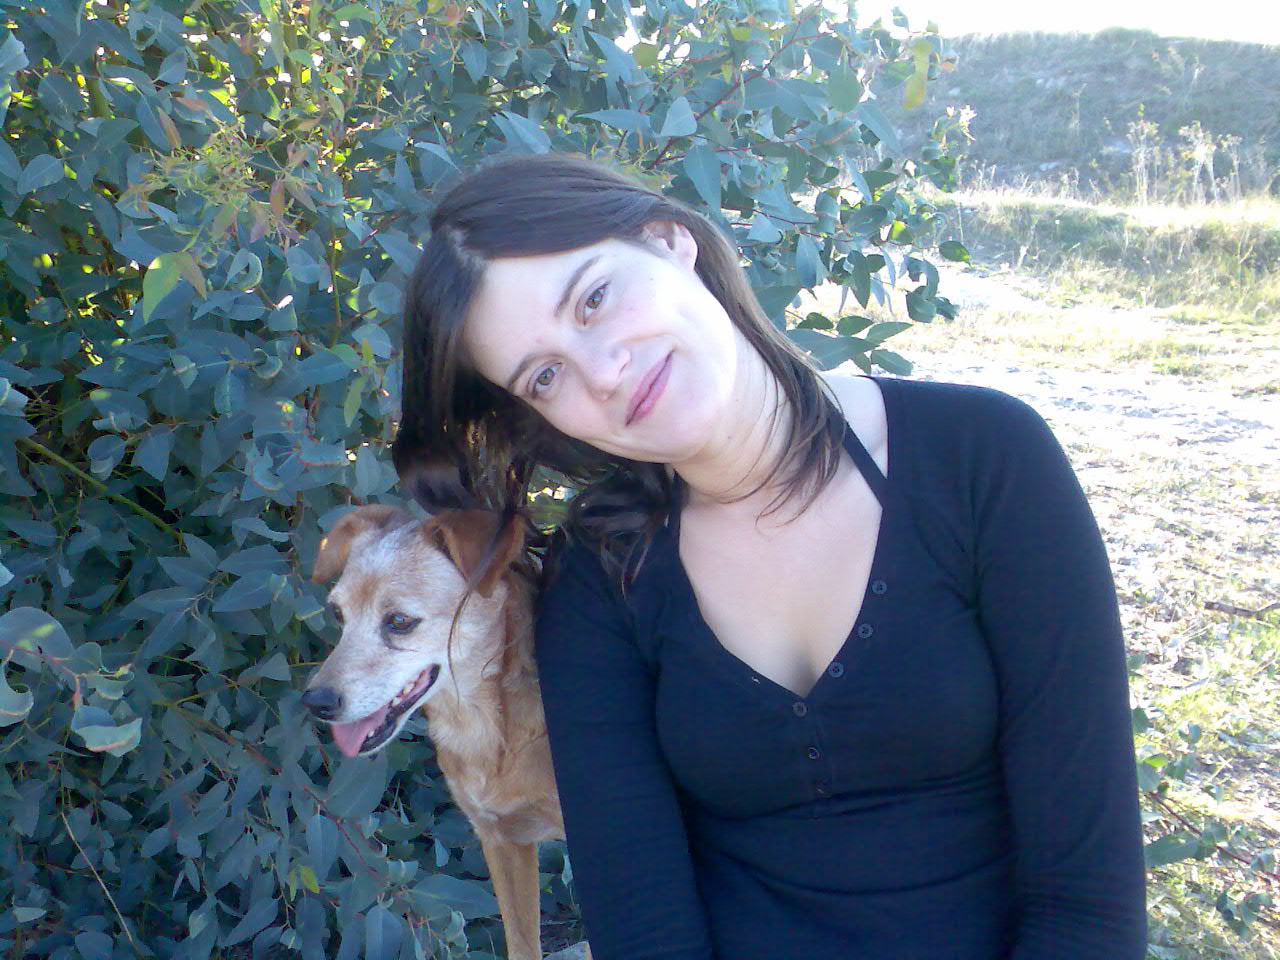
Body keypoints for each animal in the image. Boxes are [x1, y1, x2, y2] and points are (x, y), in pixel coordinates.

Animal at [303, 504, 588, 960]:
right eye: (338, 614)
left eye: (400, 621)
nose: (317, 702)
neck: (489, 729)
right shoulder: (500, 840)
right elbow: (522, 944)